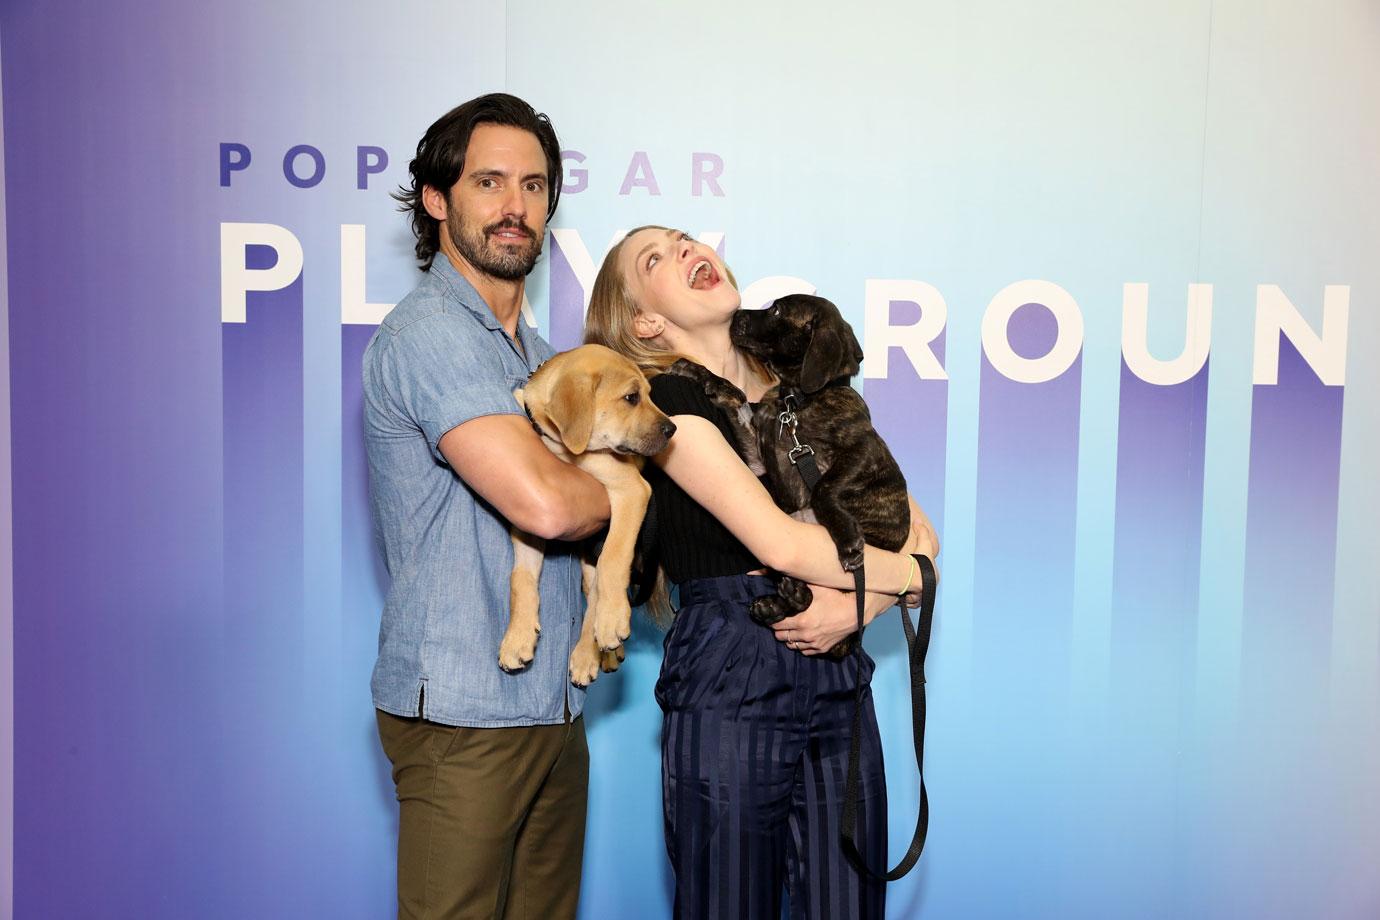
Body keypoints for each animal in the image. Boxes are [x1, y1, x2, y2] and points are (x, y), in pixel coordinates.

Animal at [507, 344, 678, 684]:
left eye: (648, 395)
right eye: (631, 397)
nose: (673, 430)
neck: (562, 447)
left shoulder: (632, 490)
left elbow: (614, 558)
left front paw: (611, 620)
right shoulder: (530, 521)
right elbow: (520, 578)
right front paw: (517, 636)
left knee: (596, 597)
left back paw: (591, 651)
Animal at [662, 295, 910, 653]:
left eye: (777, 310)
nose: (734, 315)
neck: (795, 401)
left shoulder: (863, 450)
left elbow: (823, 487)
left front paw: (847, 540)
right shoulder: (758, 457)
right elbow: (734, 395)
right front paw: (695, 370)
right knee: (804, 596)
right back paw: (777, 603)